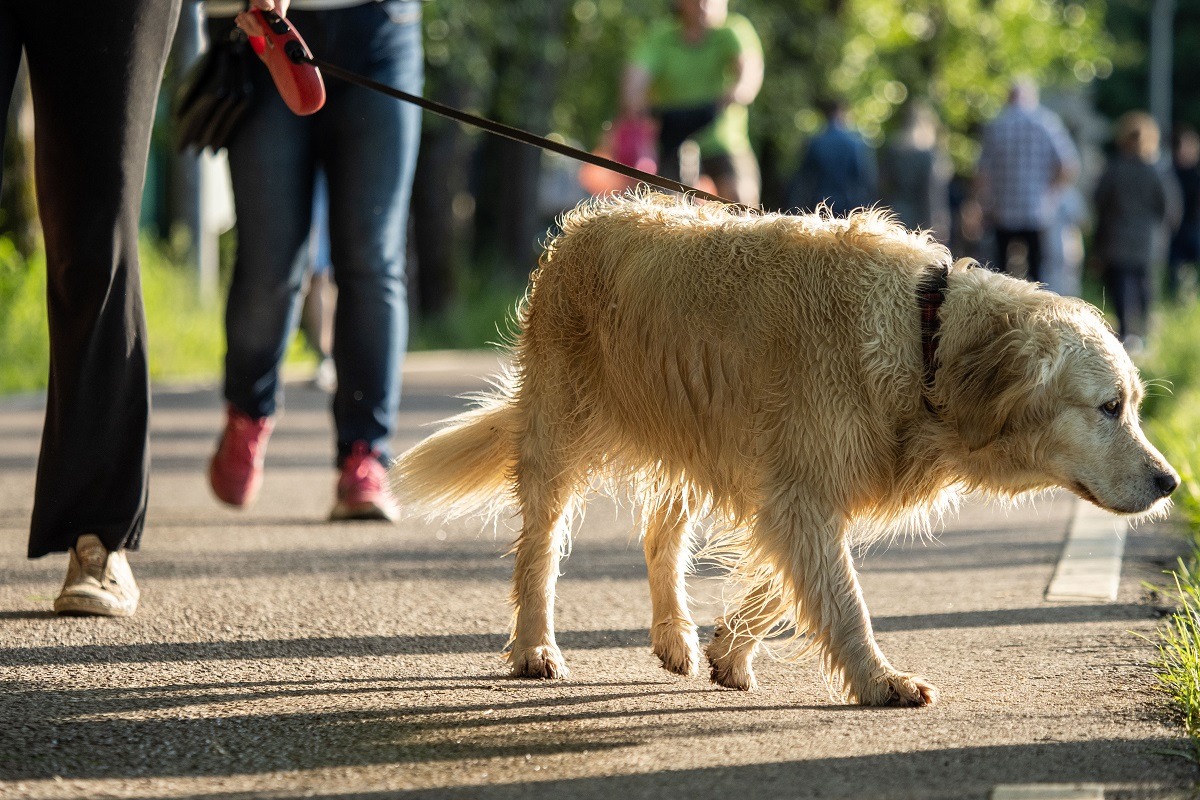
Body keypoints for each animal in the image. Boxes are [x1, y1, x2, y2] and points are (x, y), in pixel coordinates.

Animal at [386, 191, 1180, 705]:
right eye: (1109, 407)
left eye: (1134, 405)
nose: (1172, 482)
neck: (924, 340)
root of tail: (579, 225)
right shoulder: (800, 488)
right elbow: (841, 598)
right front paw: (879, 681)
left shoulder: (802, 489)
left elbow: (782, 588)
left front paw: (728, 651)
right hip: (562, 433)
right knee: (540, 548)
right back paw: (534, 647)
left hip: (692, 440)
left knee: (659, 537)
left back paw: (674, 636)